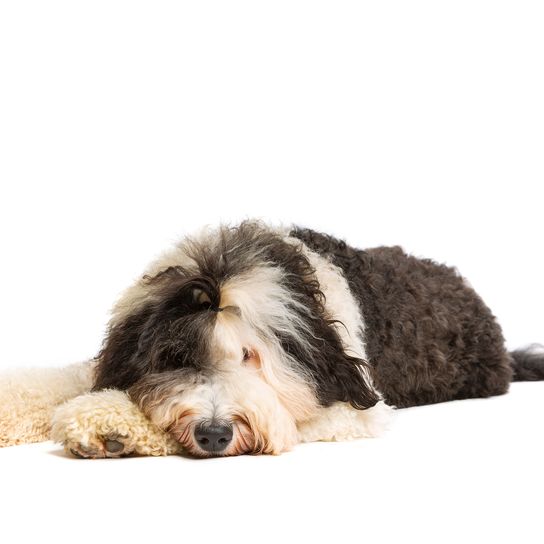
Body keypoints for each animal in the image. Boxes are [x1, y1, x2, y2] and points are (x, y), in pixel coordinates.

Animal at [1, 221, 544, 454]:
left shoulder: (355, 407)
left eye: (250, 356)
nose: (214, 435)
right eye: (176, 356)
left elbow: (285, 414)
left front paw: (110, 425)